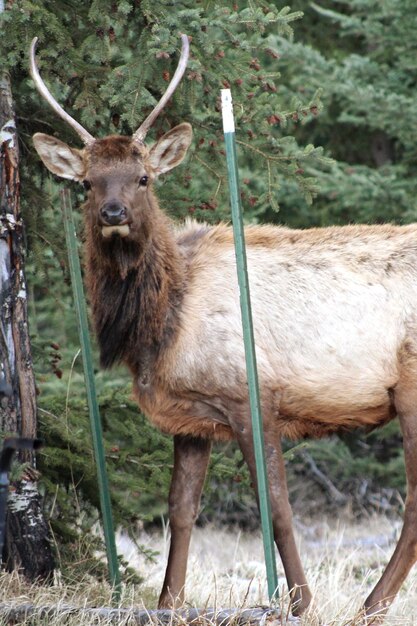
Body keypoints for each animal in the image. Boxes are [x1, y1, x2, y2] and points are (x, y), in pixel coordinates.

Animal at [30, 36, 416, 620]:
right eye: (88, 183)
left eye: (144, 177)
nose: (114, 212)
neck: (163, 326)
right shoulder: (191, 419)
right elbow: (181, 510)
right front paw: (168, 604)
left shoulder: (252, 396)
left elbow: (276, 506)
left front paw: (301, 603)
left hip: (410, 387)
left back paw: (369, 607)